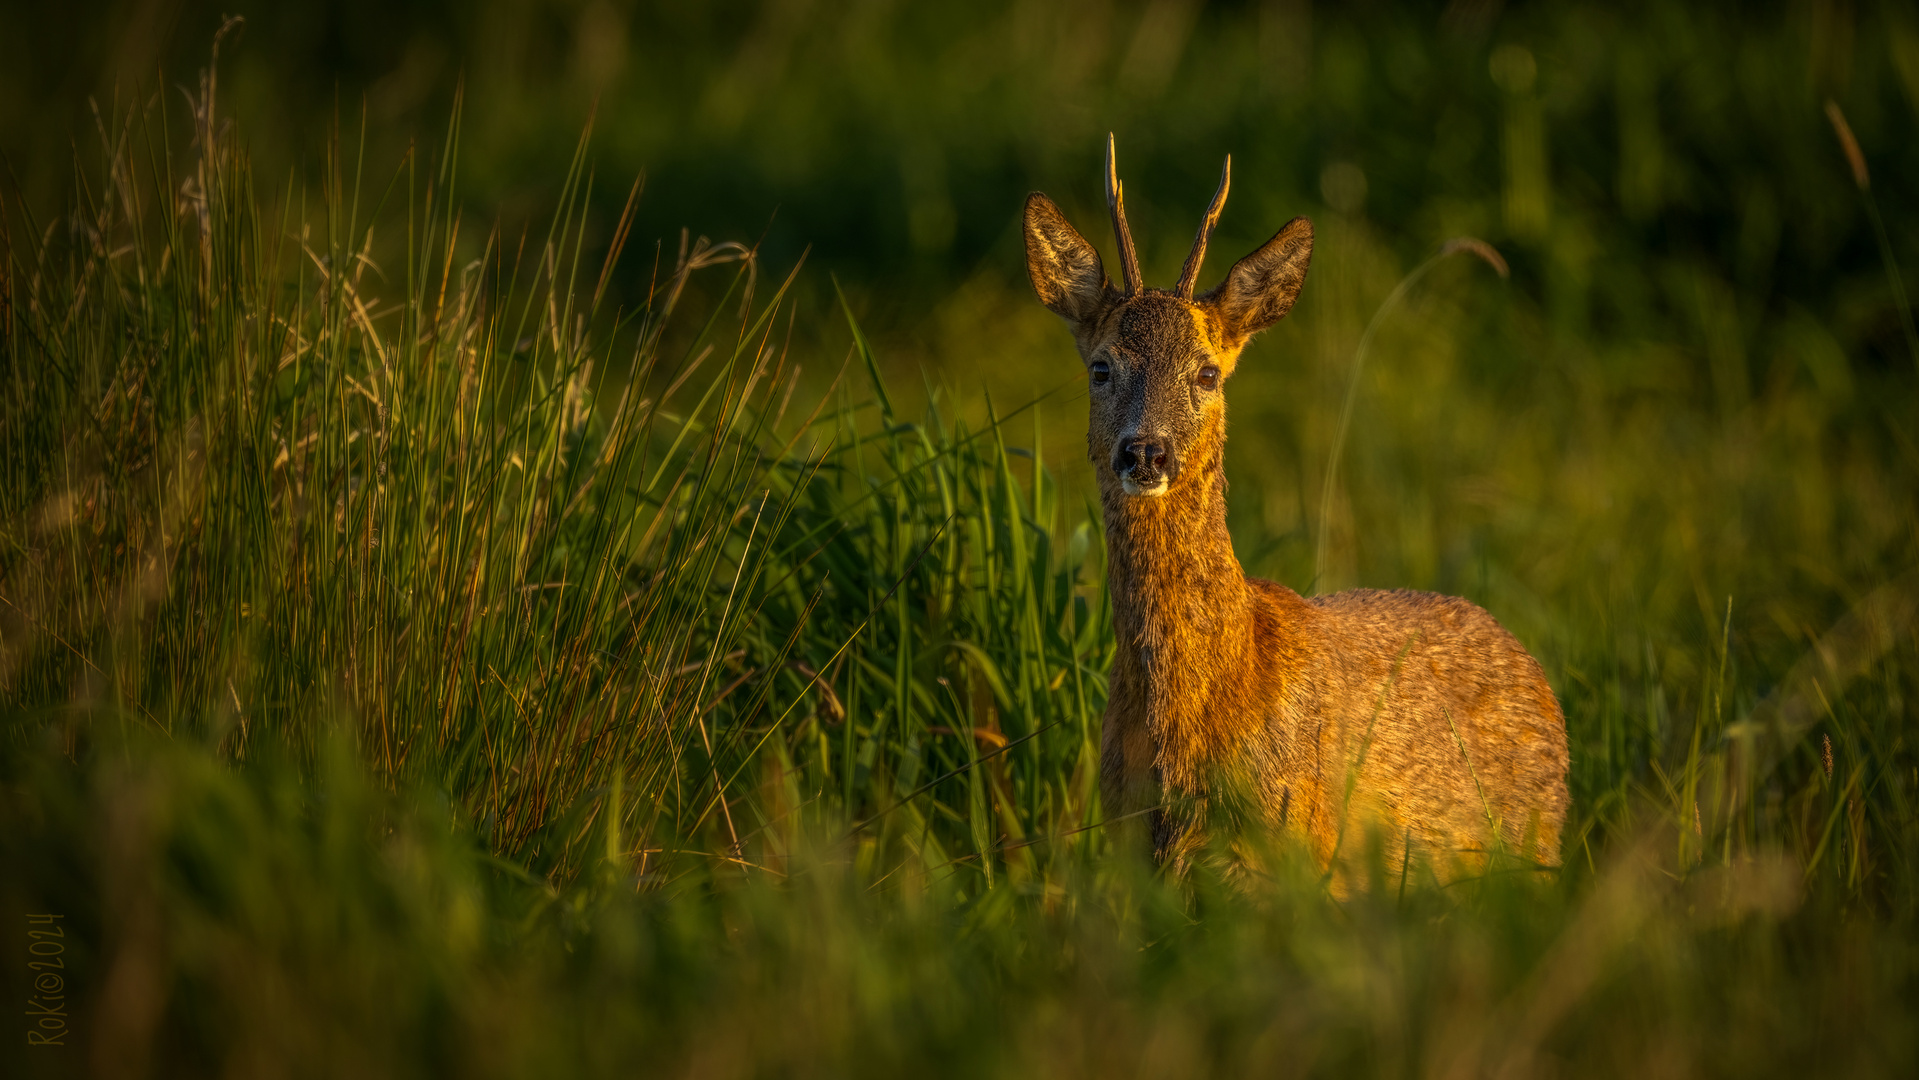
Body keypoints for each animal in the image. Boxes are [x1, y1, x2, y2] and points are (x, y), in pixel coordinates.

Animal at [1028, 135, 1565, 878]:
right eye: (1100, 368)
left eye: (1207, 372)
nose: (1145, 453)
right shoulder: (1129, 838)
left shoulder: (1300, 842)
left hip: (1533, 847)